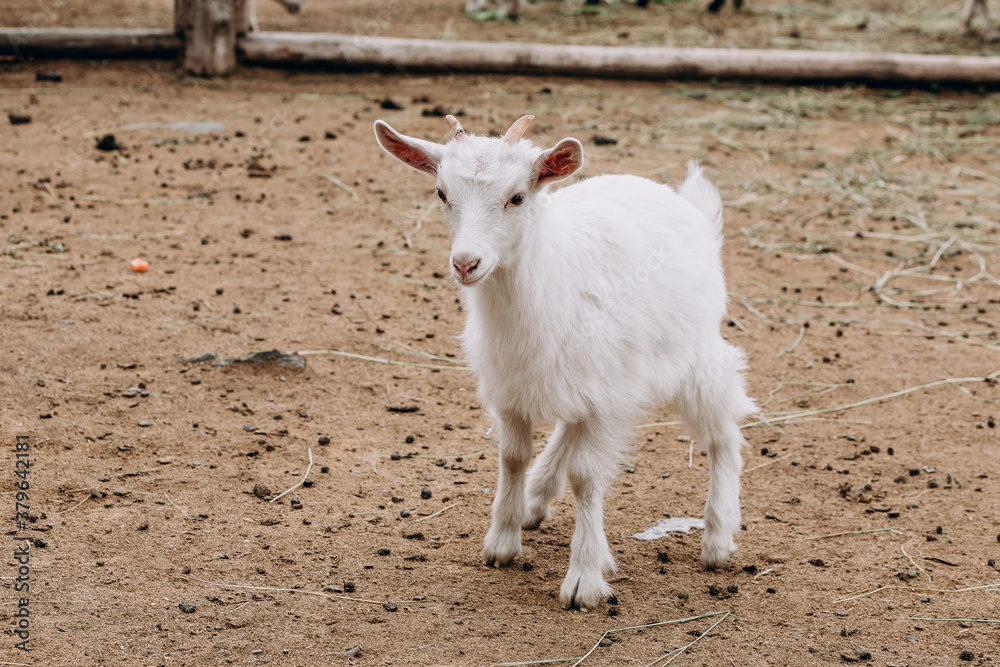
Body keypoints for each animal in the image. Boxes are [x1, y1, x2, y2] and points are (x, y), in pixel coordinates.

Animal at [374, 114, 756, 611]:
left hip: (694, 356)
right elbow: (512, 457)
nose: (466, 263)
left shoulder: (606, 395)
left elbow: (586, 478)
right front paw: (502, 541)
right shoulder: (512, 390)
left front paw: (584, 579)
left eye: (517, 196)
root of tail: (686, 204)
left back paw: (717, 538)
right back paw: (536, 496)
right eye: (441, 193)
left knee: (724, 433)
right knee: (568, 429)